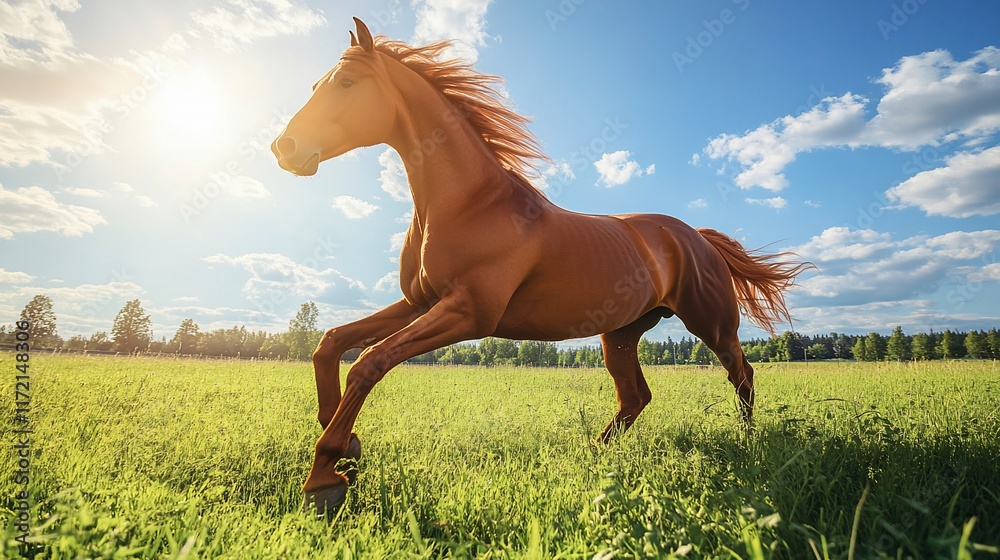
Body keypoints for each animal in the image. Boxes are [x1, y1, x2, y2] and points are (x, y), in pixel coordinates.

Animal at [271, 17, 812, 514]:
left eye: (346, 83)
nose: (285, 149)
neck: (471, 204)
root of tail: (696, 236)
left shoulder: (469, 312)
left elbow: (369, 361)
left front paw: (325, 477)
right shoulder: (418, 302)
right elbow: (330, 343)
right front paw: (347, 448)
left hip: (711, 323)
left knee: (742, 374)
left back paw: (747, 443)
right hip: (621, 333)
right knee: (636, 396)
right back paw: (596, 455)